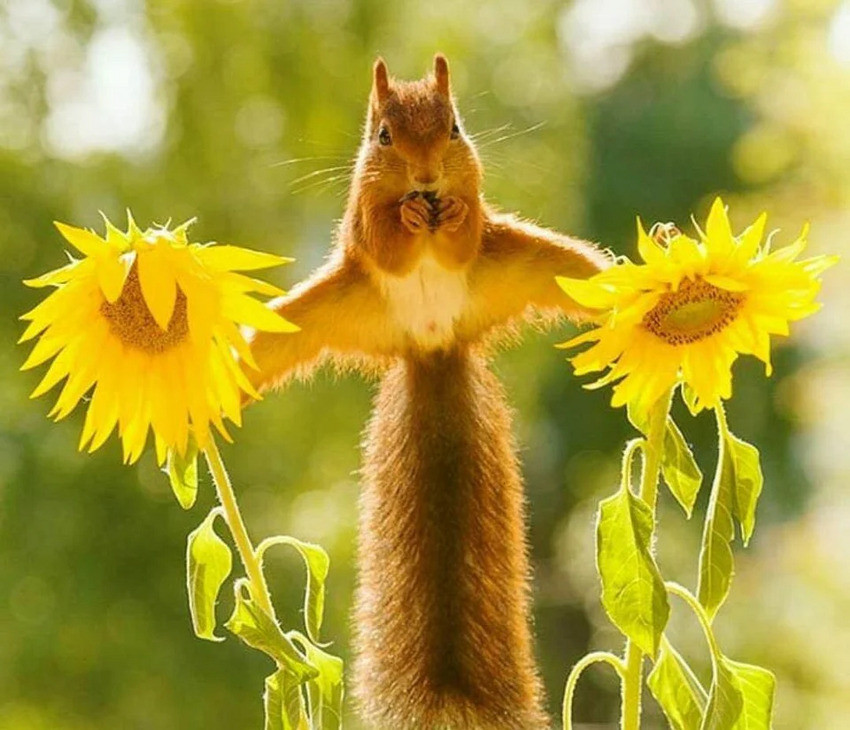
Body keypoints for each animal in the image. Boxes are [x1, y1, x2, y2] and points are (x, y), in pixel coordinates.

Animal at [247, 57, 608, 728]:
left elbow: (466, 230)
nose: (425, 175)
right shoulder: (361, 219)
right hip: (321, 311)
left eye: (455, 128)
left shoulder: (475, 204)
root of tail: (433, 346)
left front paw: (453, 216)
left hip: (540, 264)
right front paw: (410, 221)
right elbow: (385, 241)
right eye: (383, 136)